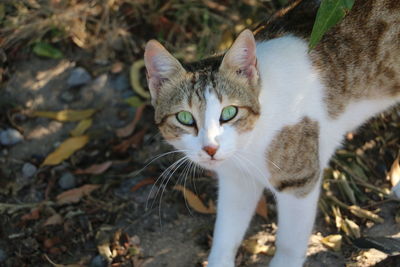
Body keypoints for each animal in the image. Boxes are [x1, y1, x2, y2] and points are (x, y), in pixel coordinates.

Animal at [144, 0, 400, 266]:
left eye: (229, 112)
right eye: (185, 118)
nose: (210, 148)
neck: (251, 140)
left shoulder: (300, 181)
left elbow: (289, 243)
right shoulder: (237, 180)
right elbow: (225, 235)